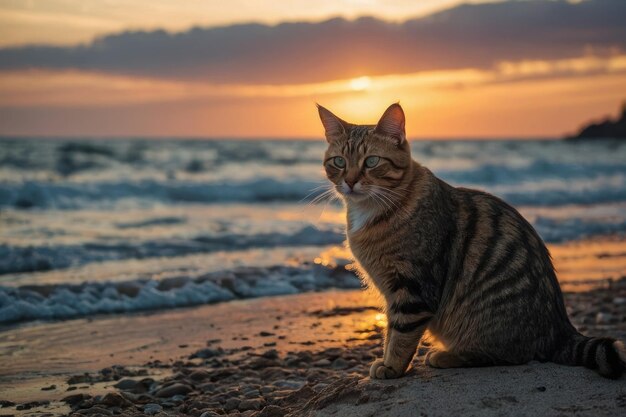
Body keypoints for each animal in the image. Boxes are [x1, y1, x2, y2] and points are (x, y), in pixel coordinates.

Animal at [316, 102, 624, 378]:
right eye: (339, 162)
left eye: (371, 161)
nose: (350, 181)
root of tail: (561, 331)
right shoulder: (393, 291)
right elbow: (391, 330)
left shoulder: (413, 287)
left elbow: (401, 334)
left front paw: (392, 367)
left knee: (508, 355)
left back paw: (446, 355)